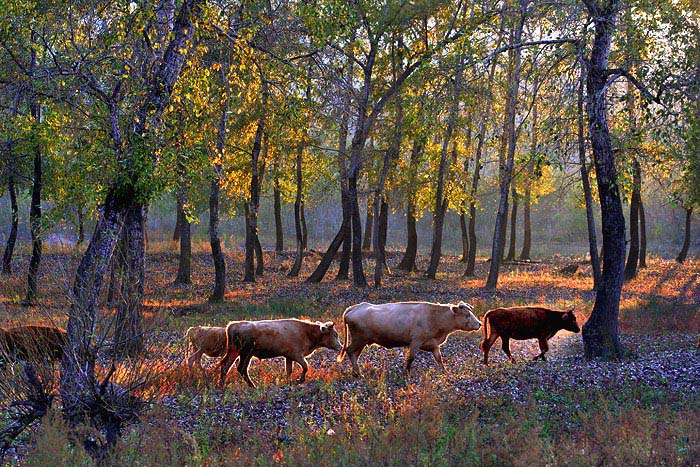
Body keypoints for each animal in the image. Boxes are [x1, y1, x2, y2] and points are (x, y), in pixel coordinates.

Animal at [338, 302, 482, 378]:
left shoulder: (433, 344)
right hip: (359, 339)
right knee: (350, 351)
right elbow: (411, 358)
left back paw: (355, 372)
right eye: (467, 315)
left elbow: (439, 359)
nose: (480, 324)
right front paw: (406, 373)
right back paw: (358, 373)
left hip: (361, 341)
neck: (434, 317)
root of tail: (354, 307)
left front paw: (445, 372)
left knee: (354, 354)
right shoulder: (415, 342)